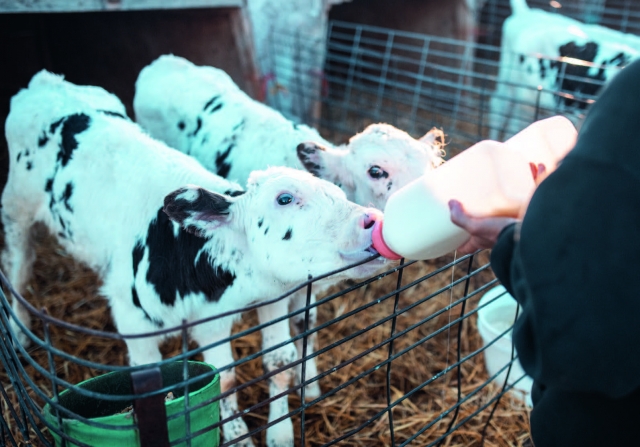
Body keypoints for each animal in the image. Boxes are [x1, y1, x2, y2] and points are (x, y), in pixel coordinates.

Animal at [2, 72, 384, 446]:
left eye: (339, 193)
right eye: (285, 198)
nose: (371, 220)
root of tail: (45, 81)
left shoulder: (259, 303)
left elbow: (272, 363)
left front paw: (279, 435)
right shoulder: (134, 322)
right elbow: (196, 387)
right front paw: (239, 439)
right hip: (16, 209)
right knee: (19, 270)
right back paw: (19, 333)